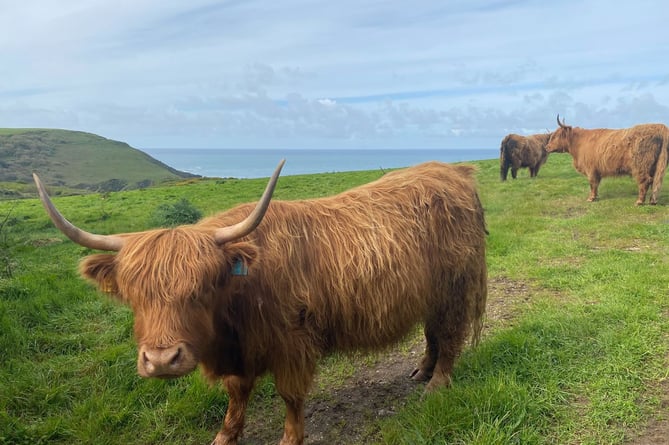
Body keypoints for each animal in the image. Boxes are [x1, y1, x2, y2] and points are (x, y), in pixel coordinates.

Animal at [34, 161, 488, 444]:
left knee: (449, 335)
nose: (162, 361)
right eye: (133, 295)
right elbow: (236, 394)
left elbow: (290, 395)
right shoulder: (240, 352)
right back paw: (421, 371)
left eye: (201, 288)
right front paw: (224, 435)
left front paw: (291, 438)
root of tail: (452, 171)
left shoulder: (292, 343)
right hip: (431, 293)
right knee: (432, 333)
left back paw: (437, 384)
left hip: (455, 288)